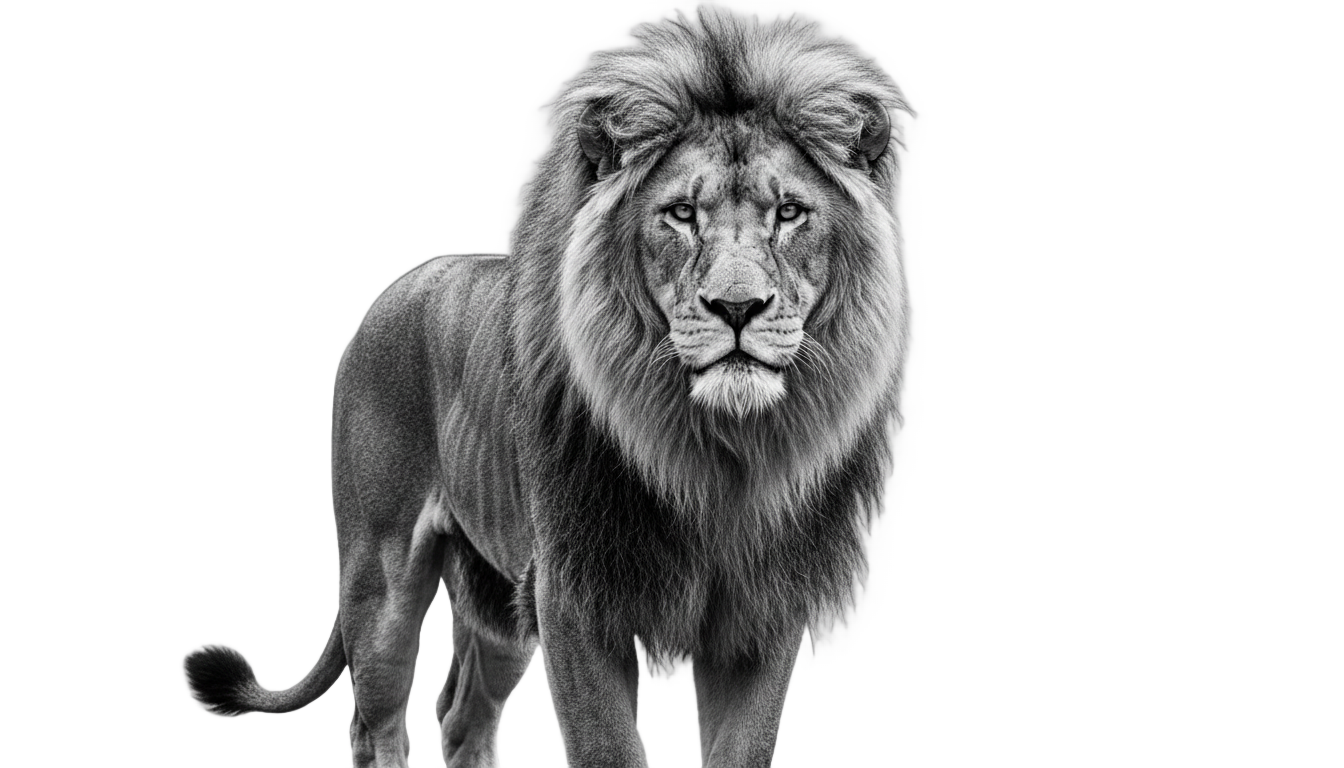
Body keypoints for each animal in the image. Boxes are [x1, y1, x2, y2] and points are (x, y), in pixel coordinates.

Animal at [184, 12, 907, 768]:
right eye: (681, 213)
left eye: (790, 212)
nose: (737, 307)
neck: (715, 450)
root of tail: (407, 283)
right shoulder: (576, 598)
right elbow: (605, 747)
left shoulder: (757, 614)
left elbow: (740, 749)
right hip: (381, 580)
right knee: (375, 726)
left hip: (498, 601)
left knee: (464, 718)